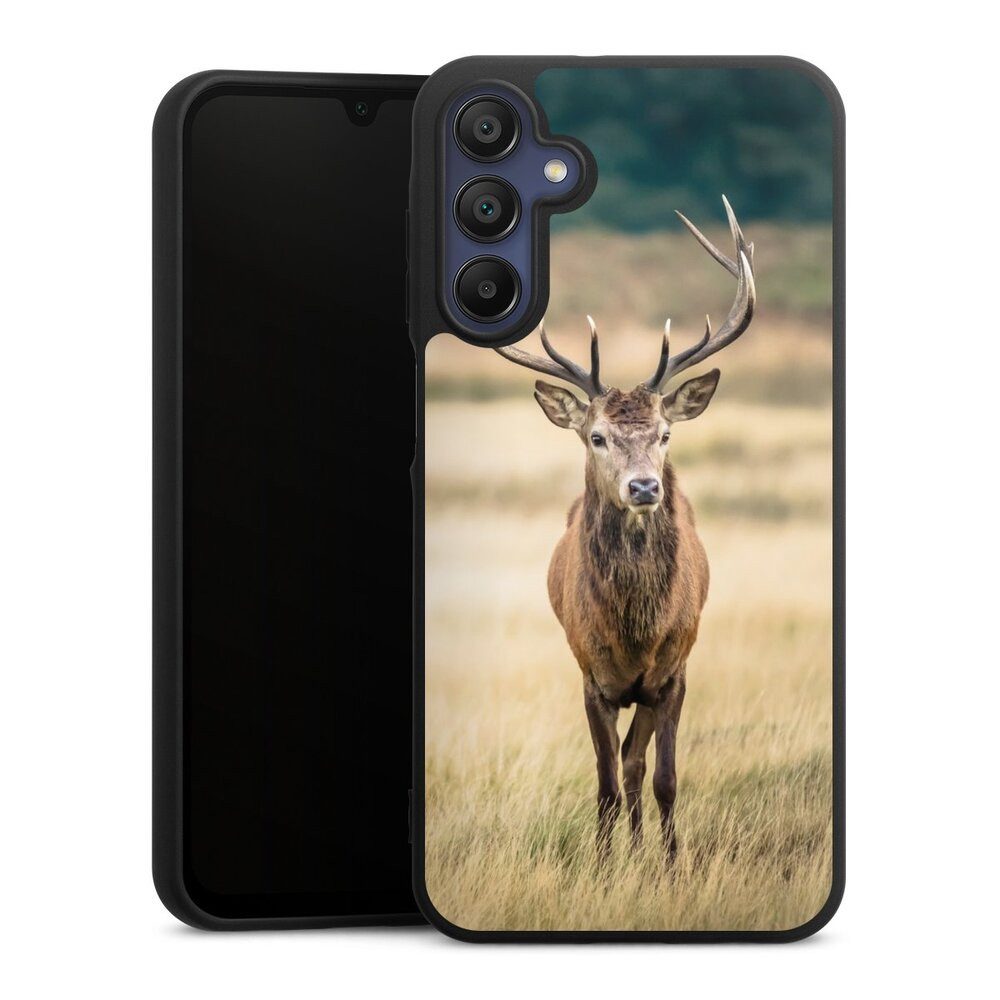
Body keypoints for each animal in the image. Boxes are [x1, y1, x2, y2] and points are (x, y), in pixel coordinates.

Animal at [494, 197, 756, 866]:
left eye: (664, 434)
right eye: (597, 436)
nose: (643, 487)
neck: (637, 631)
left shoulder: (675, 671)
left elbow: (661, 776)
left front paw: (669, 863)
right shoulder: (591, 675)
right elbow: (607, 782)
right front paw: (604, 863)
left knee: (639, 766)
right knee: (620, 769)